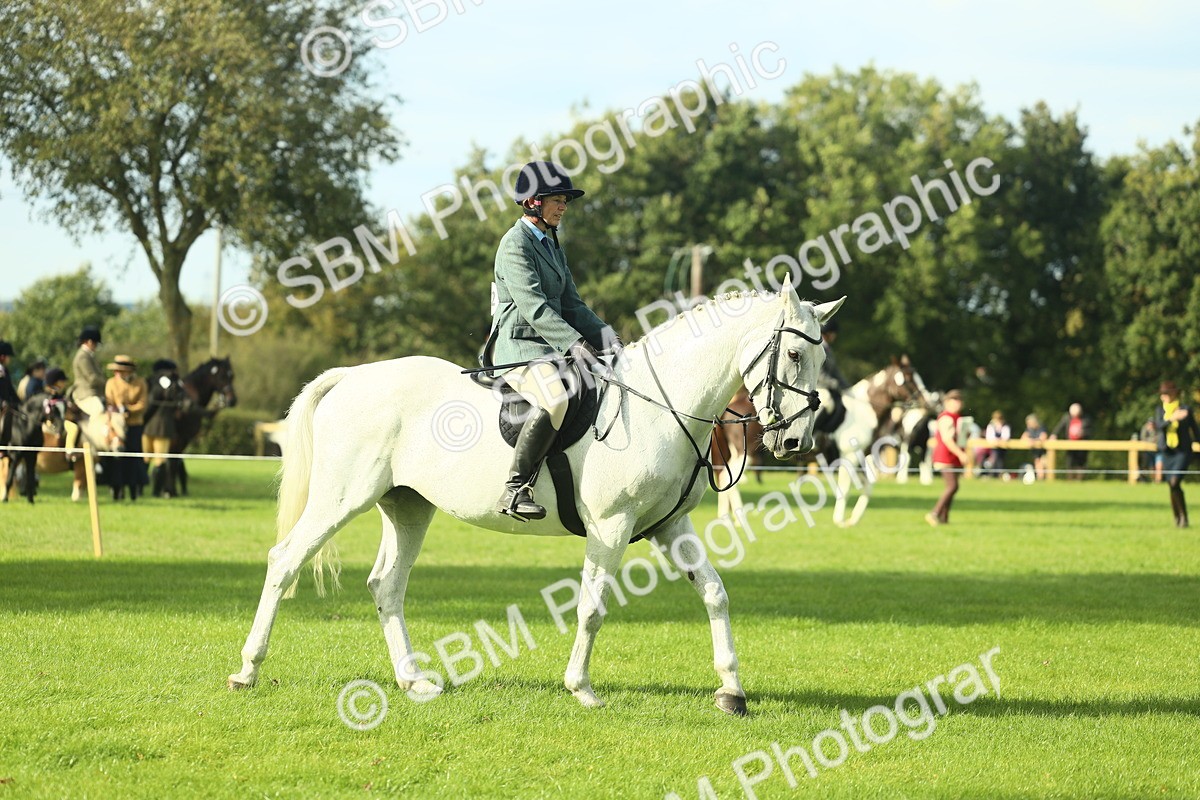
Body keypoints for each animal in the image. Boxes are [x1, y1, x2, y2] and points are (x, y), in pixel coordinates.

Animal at [171, 357, 237, 495]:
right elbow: (172, 462)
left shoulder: (182, 439)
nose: (232, 400)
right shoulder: (178, 438)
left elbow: (174, 461)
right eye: (222, 376)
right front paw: (169, 492)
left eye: (232, 375)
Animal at [229, 287, 844, 715]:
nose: (795, 442)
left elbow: (715, 593)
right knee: (285, 561)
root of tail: (353, 377)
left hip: (407, 506)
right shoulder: (612, 528)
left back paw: (413, 680)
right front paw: (583, 689)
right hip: (341, 498)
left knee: (386, 585)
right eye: (794, 353)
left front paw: (732, 691)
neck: (661, 405)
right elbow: (592, 607)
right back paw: (247, 671)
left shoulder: (672, 527)